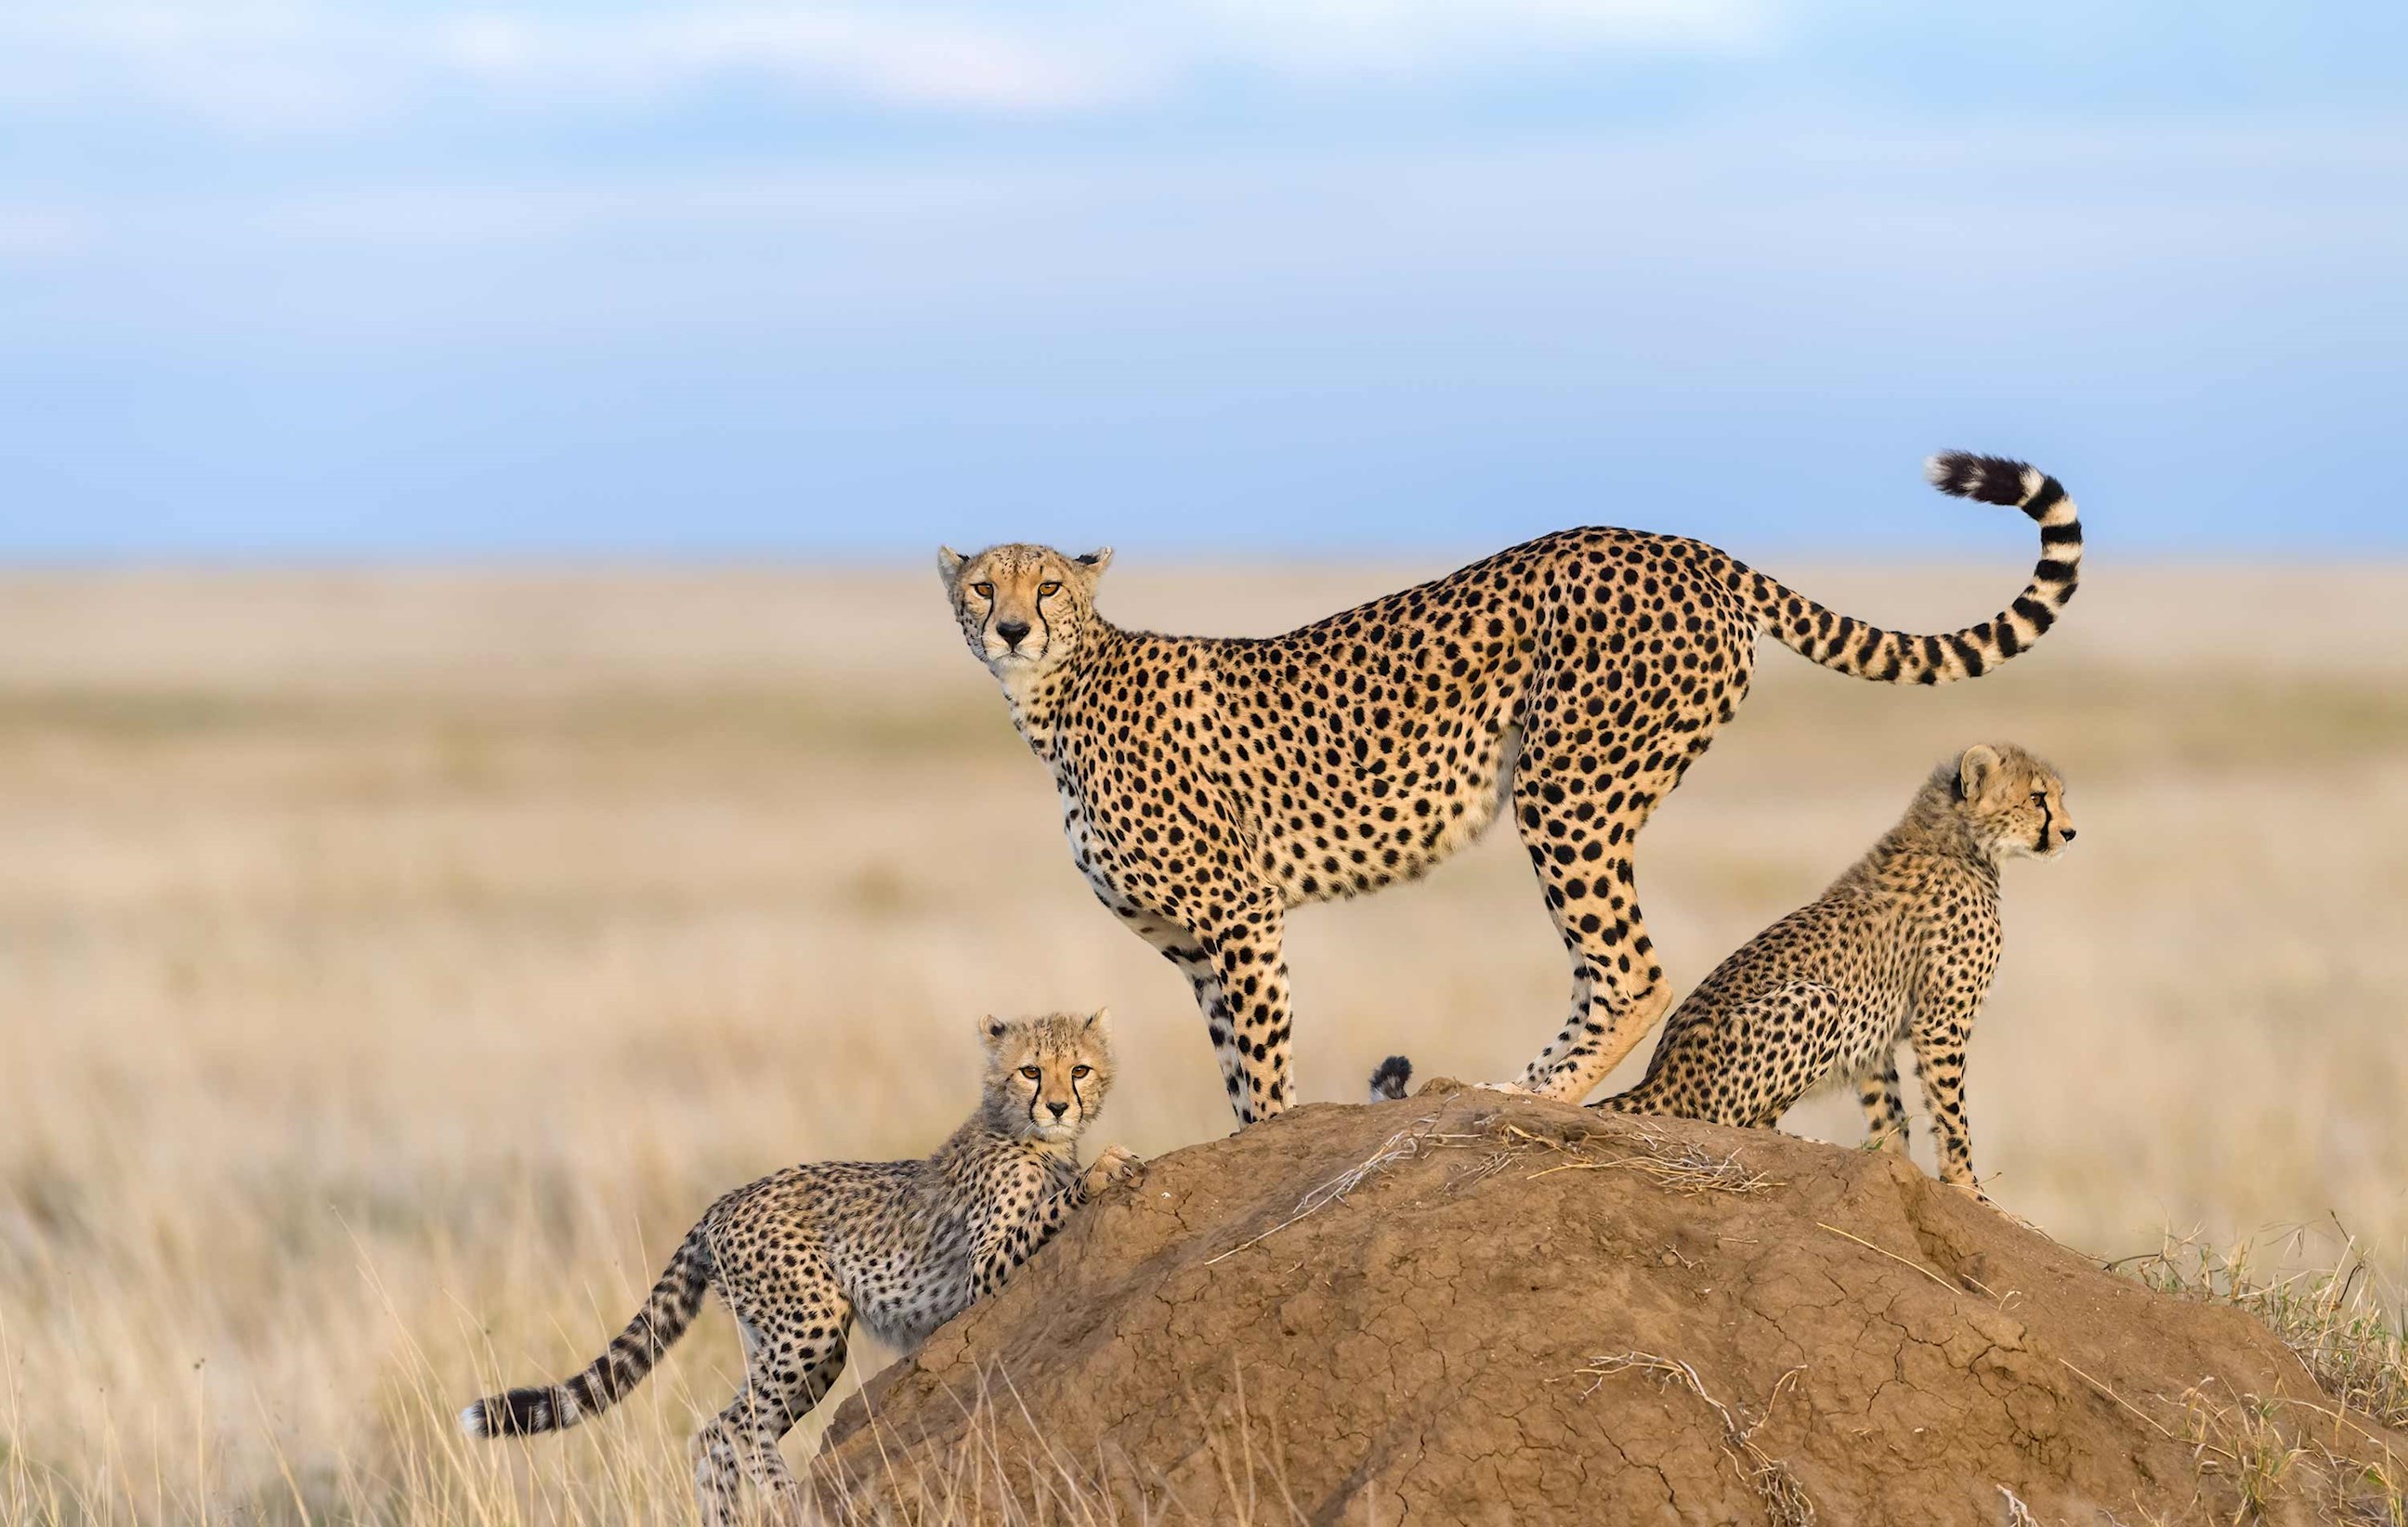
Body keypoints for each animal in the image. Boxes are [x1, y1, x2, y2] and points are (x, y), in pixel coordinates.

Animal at [458, 1010, 1140, 1526]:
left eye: (1079, 1069)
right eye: (1031, 1070)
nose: (1058, 1106)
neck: (1029, 1136)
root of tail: (722, 1203)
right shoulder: (984, 1271)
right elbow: (1048, 1210)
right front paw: (1104, 1168)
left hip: (785, 1343)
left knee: (715, 1431)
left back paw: (726, 1519)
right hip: (811, 1323)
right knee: (743, 1428)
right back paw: (790, 1500)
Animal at [941, 451, 2081, 1127]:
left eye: (1049, 585)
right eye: (981, 587)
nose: (1012, 628)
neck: (1056, 695)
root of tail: (1679, 542)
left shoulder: (1240, 915)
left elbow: (1261, 1070)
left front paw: (1267, 1138)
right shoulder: (1193, 945)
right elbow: (1231, 1062)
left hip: (1567, 785)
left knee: (1632, 971)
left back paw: (1542, 1097)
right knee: (1603, 970)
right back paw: (1514, 1088)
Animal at [1585, 742, 2076, 1197]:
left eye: (2056, 795)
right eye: (2037, 798)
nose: (2070, 833)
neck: (1958, 840)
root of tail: (1657, 1076)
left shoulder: (1878, 1034)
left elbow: (1889, 1112)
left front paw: (1895, 1166)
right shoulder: (1941, 1023)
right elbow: (1952, 1116)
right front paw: (1969, 1189)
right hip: (1817, 998)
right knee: (1737, 1124)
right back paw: (1812, 1144)